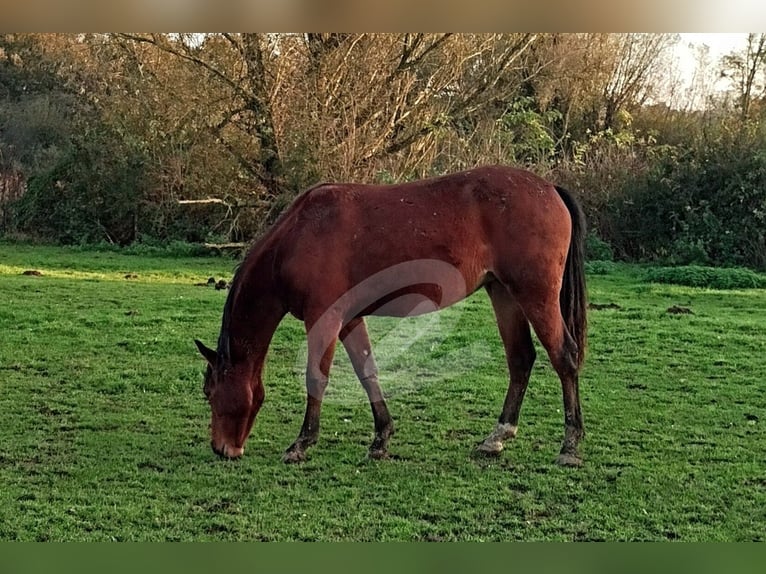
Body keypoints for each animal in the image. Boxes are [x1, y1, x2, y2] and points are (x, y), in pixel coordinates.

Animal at [195, 165, 592, 468]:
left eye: (209, 392)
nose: (221, 448)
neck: (298, 235)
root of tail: (549, 189)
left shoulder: (323, 317)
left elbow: (316, 378)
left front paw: (302, 443)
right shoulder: (349, 319)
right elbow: (367, 372)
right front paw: (381, 438)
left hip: (535, 295)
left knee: (564, 358)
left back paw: (570, 446)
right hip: (504, 293)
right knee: (521, 359)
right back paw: (497, 436)